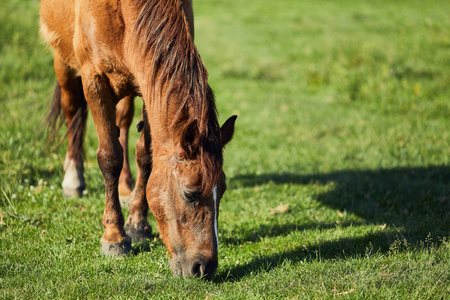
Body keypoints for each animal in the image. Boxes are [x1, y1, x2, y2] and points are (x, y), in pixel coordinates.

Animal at [39, 0, 236, 278]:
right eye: (190, 194)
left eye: (223, 189)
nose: (204, 267)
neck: (128, 11)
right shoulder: (94, 81)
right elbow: (109, 157)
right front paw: (114, 238)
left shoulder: (148, 84)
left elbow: (145, 156)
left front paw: (138, 225)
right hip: (64, 62)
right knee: (72, 110)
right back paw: (73, 178)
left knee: (122, 122)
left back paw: (124, 187)